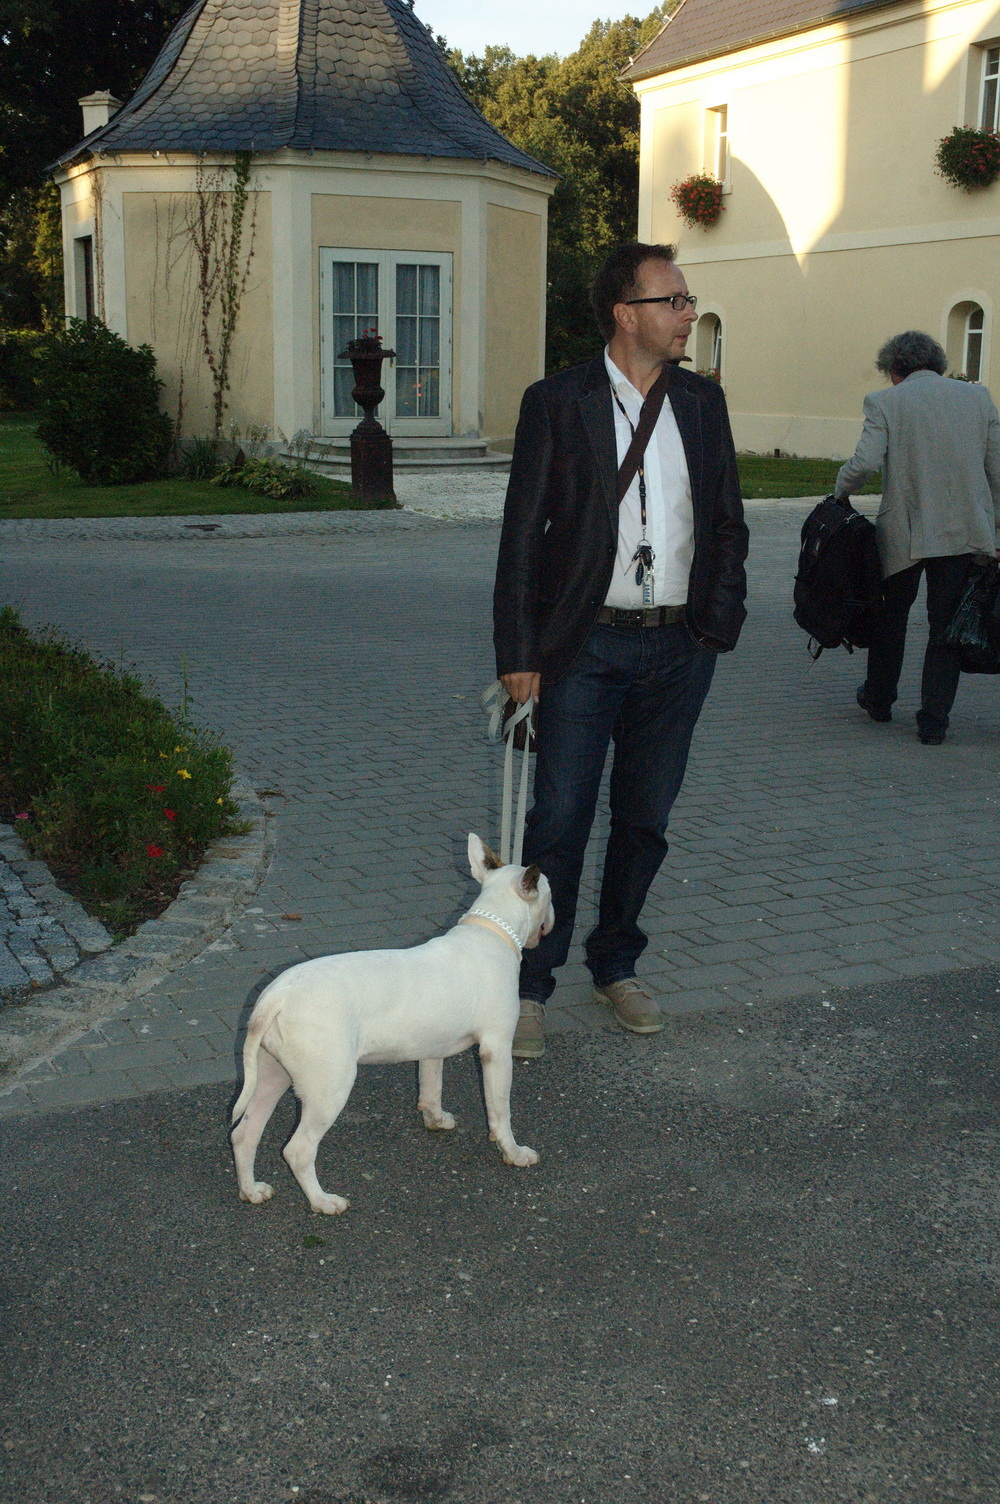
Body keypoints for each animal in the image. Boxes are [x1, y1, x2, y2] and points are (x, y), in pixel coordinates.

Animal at [230, 834, 554, 1214]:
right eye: (550, 894)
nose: (552, 920)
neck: (493, 929)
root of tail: (277, 996)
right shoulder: (497, 1049)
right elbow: (500, 1109)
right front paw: (513, 1152)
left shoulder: (431, 1048)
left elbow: (431, 1086)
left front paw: (436, 1119)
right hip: (330, 1085)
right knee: (298, 1149)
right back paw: (323, 1201)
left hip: (272, 1074)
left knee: (244, 1132)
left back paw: (252, 1191)